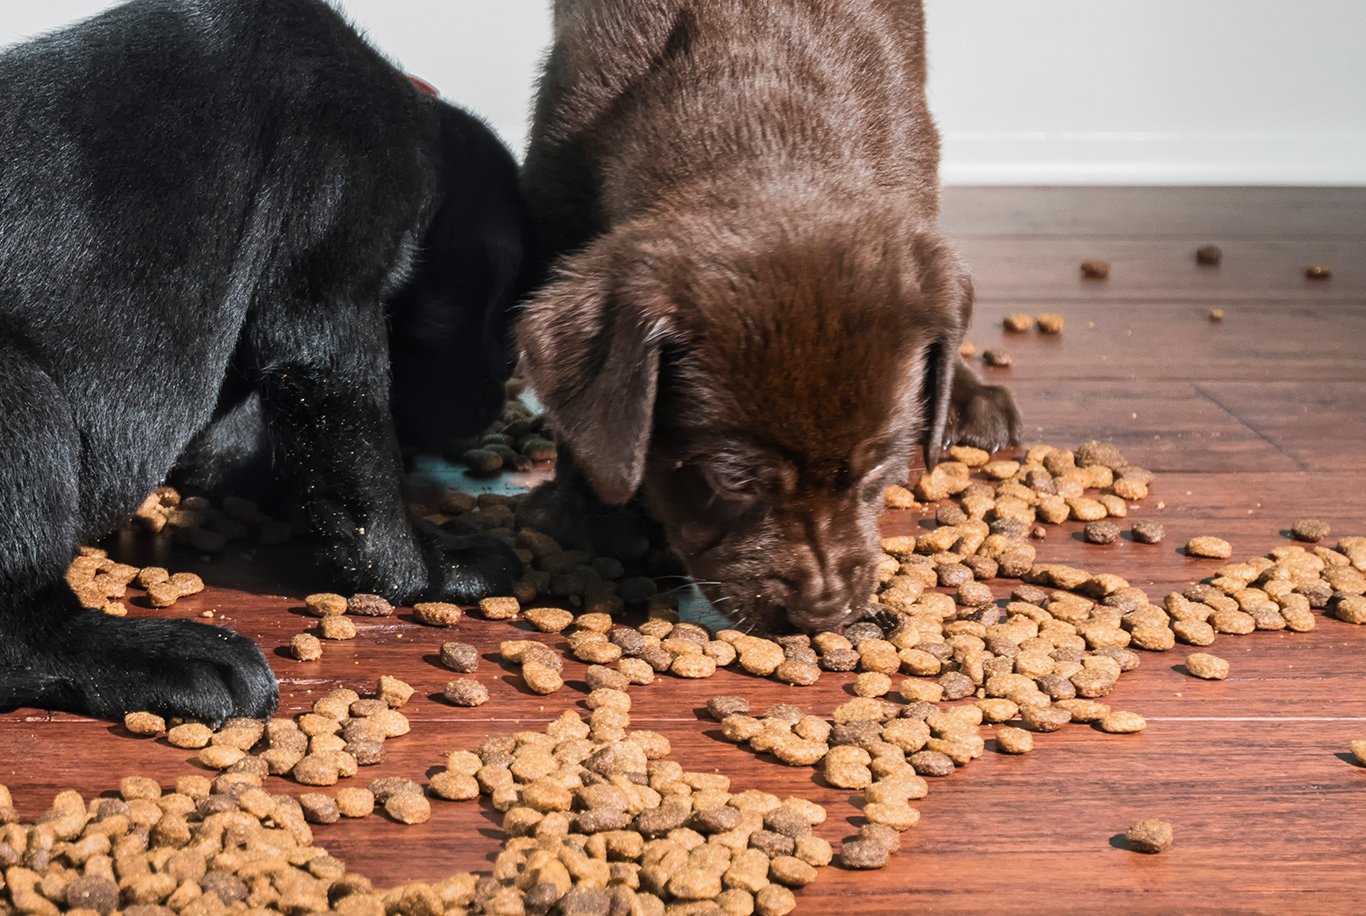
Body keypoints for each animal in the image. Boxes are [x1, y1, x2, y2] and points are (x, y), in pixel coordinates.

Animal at [0, 0, 530, 723]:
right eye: (504, 321)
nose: (499, 397)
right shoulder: (336, 269)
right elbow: (366, 483)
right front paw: (434, 567)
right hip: (22, 406)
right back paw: (164, 656)